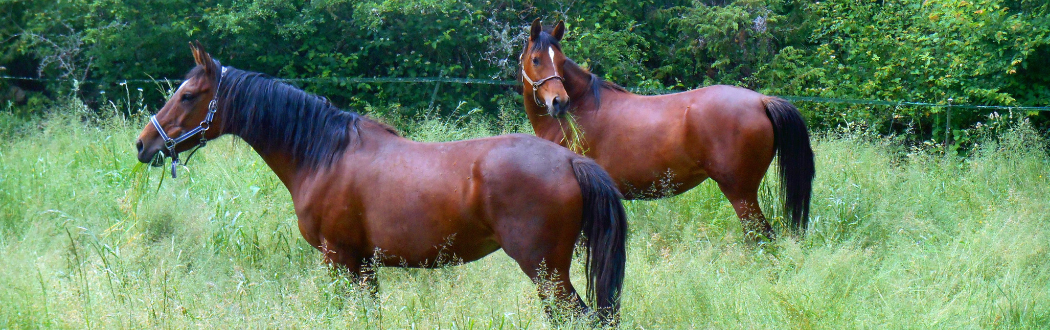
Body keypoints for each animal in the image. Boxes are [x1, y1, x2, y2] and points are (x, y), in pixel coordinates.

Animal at [130, 42, 621, 323]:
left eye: (187, 96)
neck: (324, 155)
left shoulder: (339, 260)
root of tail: (572, 161)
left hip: (546, 272)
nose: (143, 143)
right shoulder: (364, 265)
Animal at [520, 20, 814, 240]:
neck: (581, 108)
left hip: (741, 195)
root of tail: (762, 101)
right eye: (536, 60)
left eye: (561, 61)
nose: (559, 102)